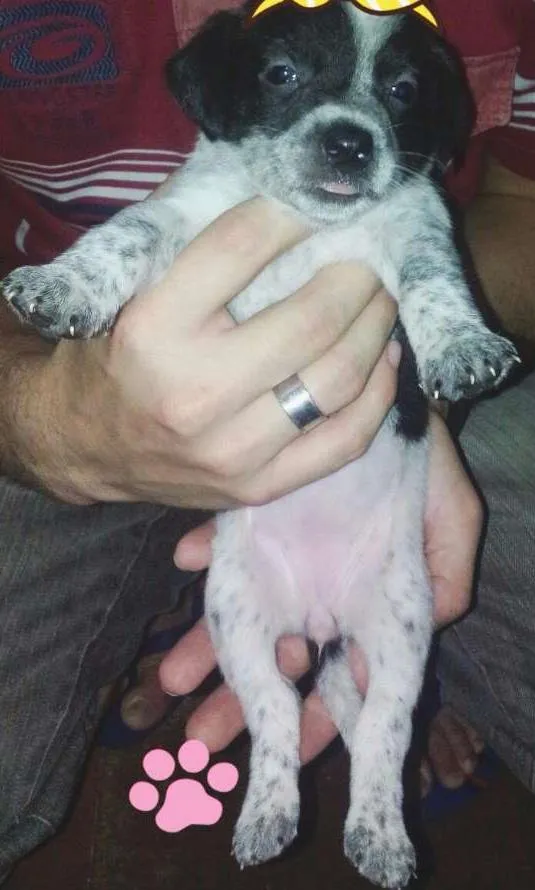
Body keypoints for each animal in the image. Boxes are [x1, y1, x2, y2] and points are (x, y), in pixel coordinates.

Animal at [2, 2, 518, 886]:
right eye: (281, 74)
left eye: (402, 90)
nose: (350, 142)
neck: (310, 224)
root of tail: (318, 620)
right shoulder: (186, 215)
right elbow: (125, 232)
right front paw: (62, 284)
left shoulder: (417, 227)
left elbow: (435, 284)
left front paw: (458, 345)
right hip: (237, 624)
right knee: (277, 716)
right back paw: (267, 816)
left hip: (400, 638)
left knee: (379, 736)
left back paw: (380, 835)